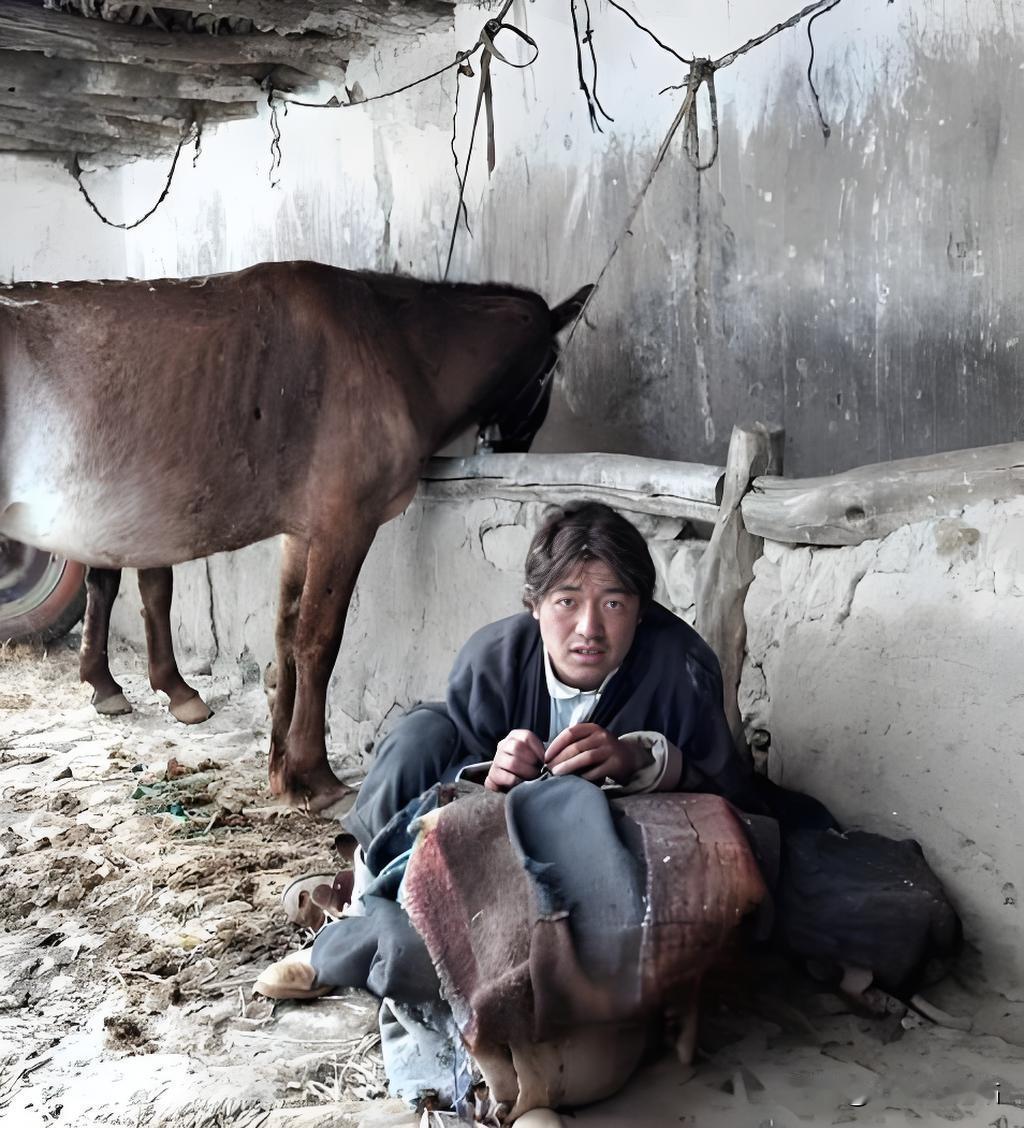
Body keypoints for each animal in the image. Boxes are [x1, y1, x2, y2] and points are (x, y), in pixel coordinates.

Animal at [0, 261, 586, 812]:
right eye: (549, 372)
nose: (508, 446)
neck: (389, 341)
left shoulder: (301, 534)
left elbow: (285, 635)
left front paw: (281, 765)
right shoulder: (343, 527)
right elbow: (318, 644)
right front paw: (314, 776)